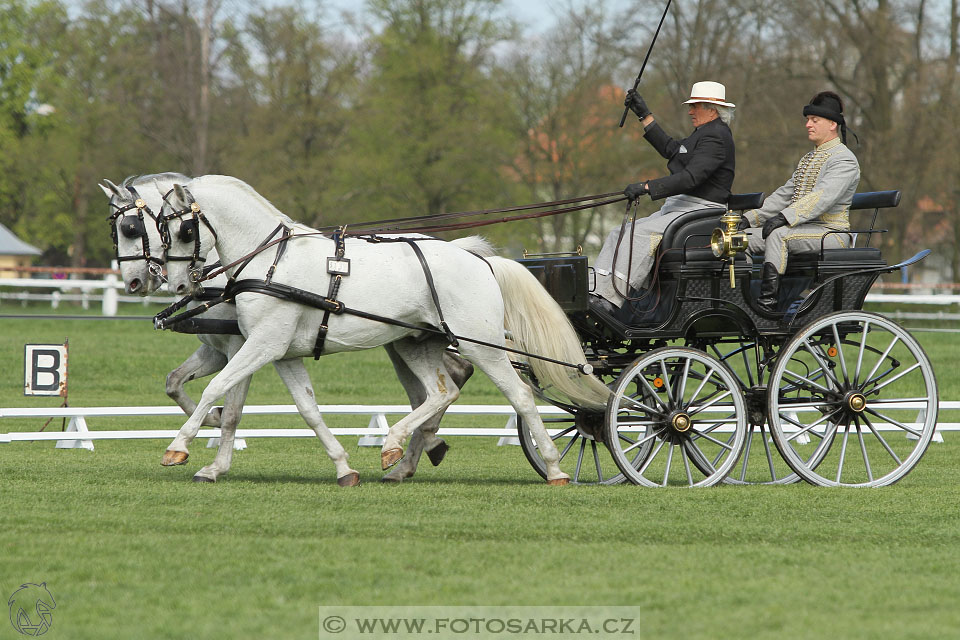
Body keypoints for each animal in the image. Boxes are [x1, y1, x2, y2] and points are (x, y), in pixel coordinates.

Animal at [100, 176, 472, 484]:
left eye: (132, 227)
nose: (135, 282)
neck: (256, 262)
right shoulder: (229, 348)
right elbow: (176, 383)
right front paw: (212, 433)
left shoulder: (245, 345)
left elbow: (228, 404)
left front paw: (201, 444)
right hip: (403, 343)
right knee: (434, 388)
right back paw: (420, 450)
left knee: (448, 380)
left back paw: (419, 446)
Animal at [158, 176, 608, 484]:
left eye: (181, 230)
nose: (176, 284)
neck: (271, 261)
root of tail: (478, 259)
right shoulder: (278, 351)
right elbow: (304, 409)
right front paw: (343, 467)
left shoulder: (261, 344)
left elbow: (216, 390)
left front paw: (179, 447)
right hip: (416, 344)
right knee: (441, 392)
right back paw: (396, 452)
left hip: (483, 347)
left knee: (519, 396)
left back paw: (553, 467)